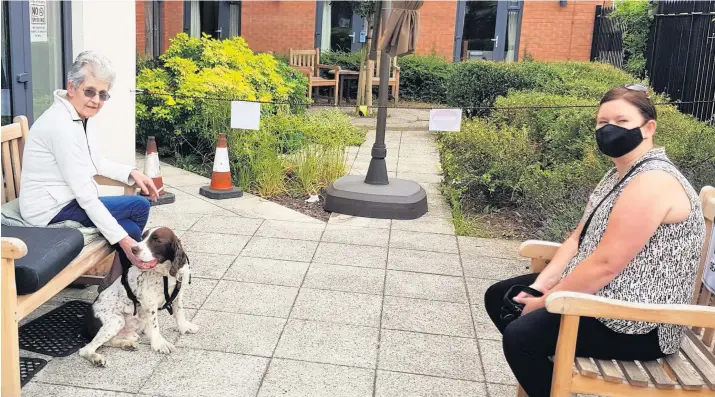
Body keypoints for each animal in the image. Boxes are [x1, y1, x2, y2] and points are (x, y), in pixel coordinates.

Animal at [79, 226, 199, 366]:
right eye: (143, 237)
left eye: (157, 240)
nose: (133, 249)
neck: (164, 274)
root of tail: (85, 325)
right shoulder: (150, 302)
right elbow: (155, 325)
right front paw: (159, 344)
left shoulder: (177, 295)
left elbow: (179, 313)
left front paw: (184, 327)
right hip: (116, 321)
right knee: (85, 349)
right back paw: (96, 358)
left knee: (111, 341)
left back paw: (127, 344)